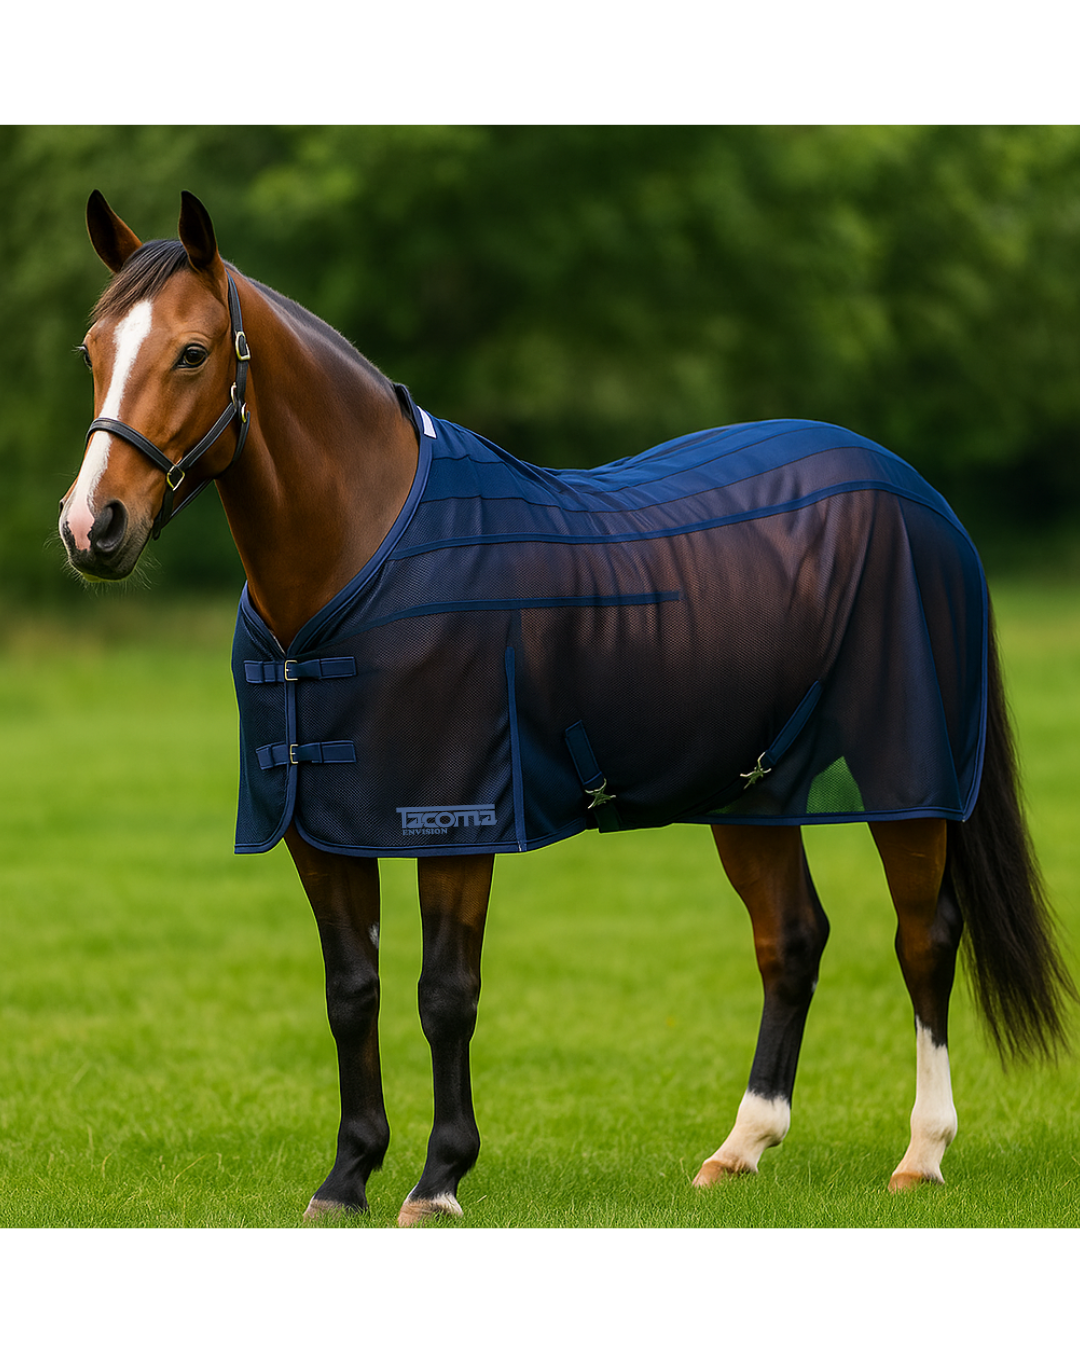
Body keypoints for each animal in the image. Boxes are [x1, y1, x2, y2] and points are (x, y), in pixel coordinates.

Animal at [59, 191, 1076, 1227]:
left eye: (192, 352)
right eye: (93, 350)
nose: (91, 526)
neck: (359, 556)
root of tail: (919, 494)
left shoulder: (456, 819)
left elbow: (444, 994)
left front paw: (438, 1179)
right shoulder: (319, 828)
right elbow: (352, 993)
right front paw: (346, 1178)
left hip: (906, 776)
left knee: (924, 938)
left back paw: (922, 1153)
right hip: (754, 787)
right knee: (790, 940)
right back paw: (740, 1148)